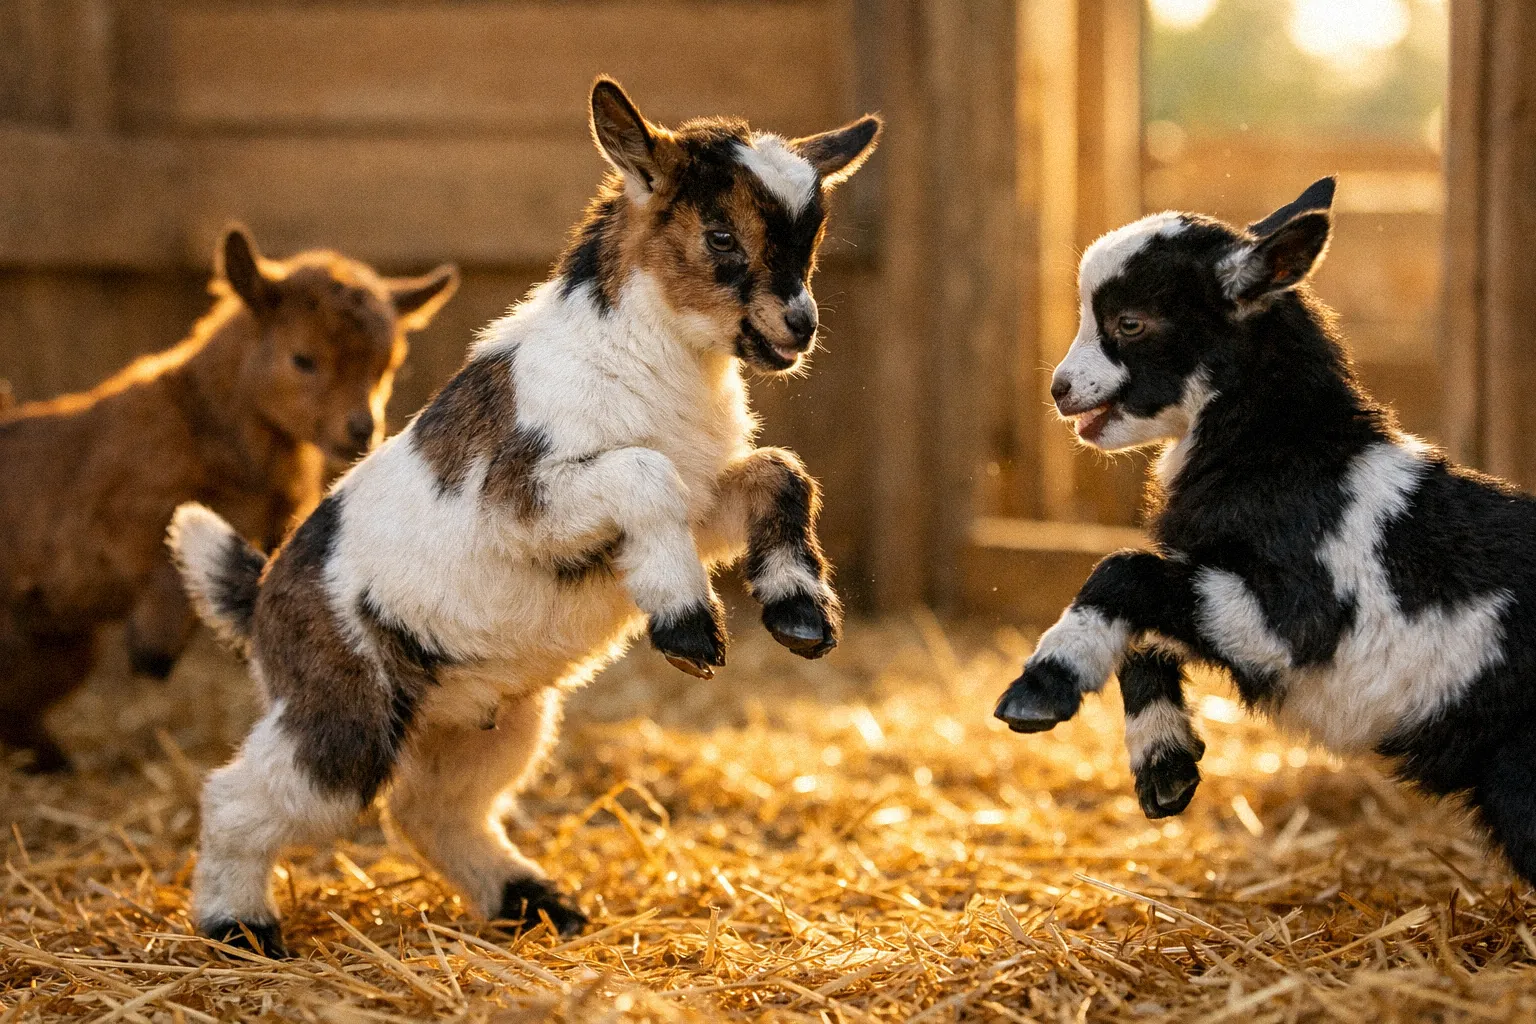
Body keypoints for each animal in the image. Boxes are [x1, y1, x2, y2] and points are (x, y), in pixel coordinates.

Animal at [0, 227, 457, 771]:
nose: (362, 430)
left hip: (56, 648)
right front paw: (151, 650)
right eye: (302, 359)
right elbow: (162, 569)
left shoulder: (280, 521)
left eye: (387, 366)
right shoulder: (122, 517)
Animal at [168, 78, 880, 956]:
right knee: (241, 796)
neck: (636, 360)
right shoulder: (523, 497)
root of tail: (264, 593)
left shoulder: (704, 496)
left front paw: (800, 613)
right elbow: (644, 474)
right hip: (343, 709)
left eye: (813, 236)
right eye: (721, 234)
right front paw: (688, 627)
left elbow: (779, 473)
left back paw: (533, 902)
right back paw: (239, 927)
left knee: (432, 810)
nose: (799, 327)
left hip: (489, 721)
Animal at [993, 177, 1536, 885]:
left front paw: (1039, 690)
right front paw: (1166, 765)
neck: (1291, 455)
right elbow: (1147, 631)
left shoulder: (1296, 620)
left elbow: (1125, 571)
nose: (1061, 391)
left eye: (1130, 322)